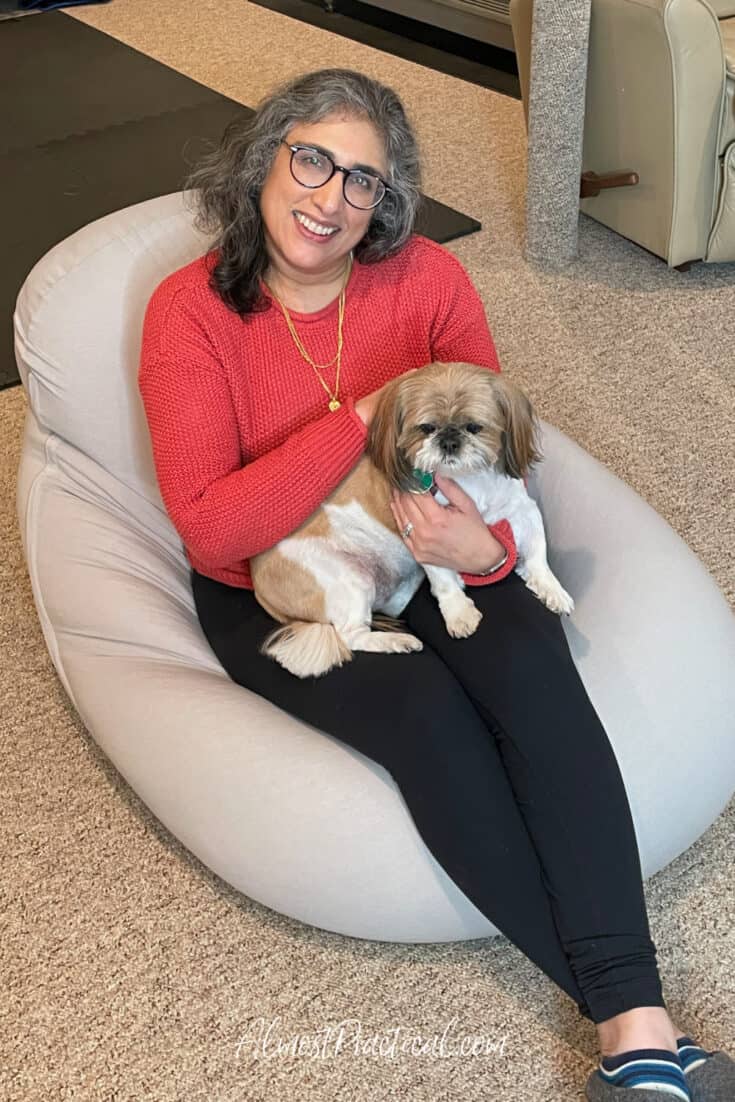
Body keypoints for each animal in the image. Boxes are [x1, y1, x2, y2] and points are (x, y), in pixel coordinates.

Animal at [251, 359, 573, 678]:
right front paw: (459, 613)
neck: (468, 482)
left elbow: (537, 555)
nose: (449, 441)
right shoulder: (428, 535)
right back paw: (396, 641)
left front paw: (552, 589)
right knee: (351, 636)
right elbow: (444, 581)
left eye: (474, 427)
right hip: (348, 578)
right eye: (427, 427)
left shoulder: (523, 509)